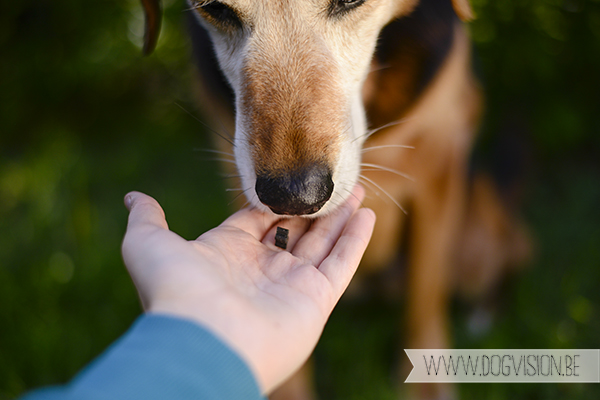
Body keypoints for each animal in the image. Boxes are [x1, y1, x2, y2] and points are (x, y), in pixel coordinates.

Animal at [139, 1, 528, 398]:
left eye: (351, 2)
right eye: (216, 9)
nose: (295, 196)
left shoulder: (439, 164)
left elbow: (426, 293)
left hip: (477, 241)